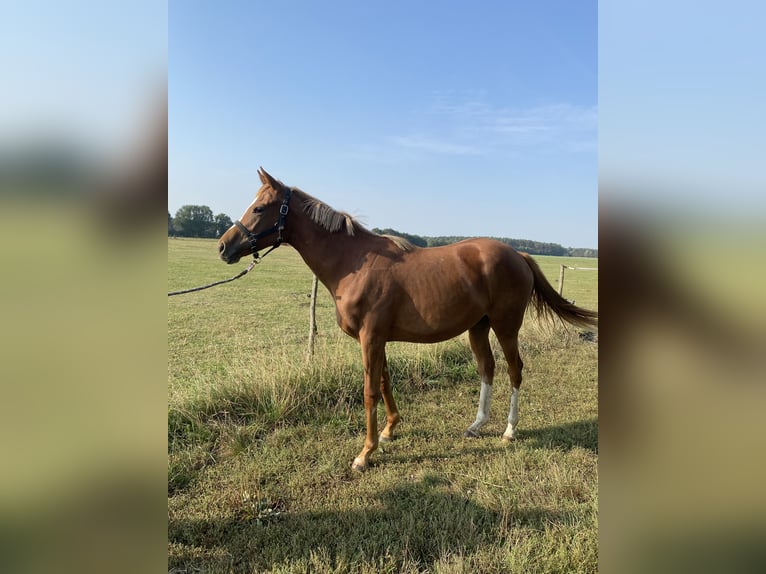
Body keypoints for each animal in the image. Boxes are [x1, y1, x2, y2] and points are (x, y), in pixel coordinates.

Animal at [218, 168, 600, 472]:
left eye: (259, 208)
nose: (224, 247)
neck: (352, 262)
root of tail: (518, 254)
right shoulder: (377, 339)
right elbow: (385, 383)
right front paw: (389, 431)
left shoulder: (371, 338)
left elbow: (370, 390)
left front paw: (365, 454)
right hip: (478, 327)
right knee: (487, 368)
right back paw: (476, 426)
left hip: (506, 327)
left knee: (514, 370)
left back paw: (509, 431)